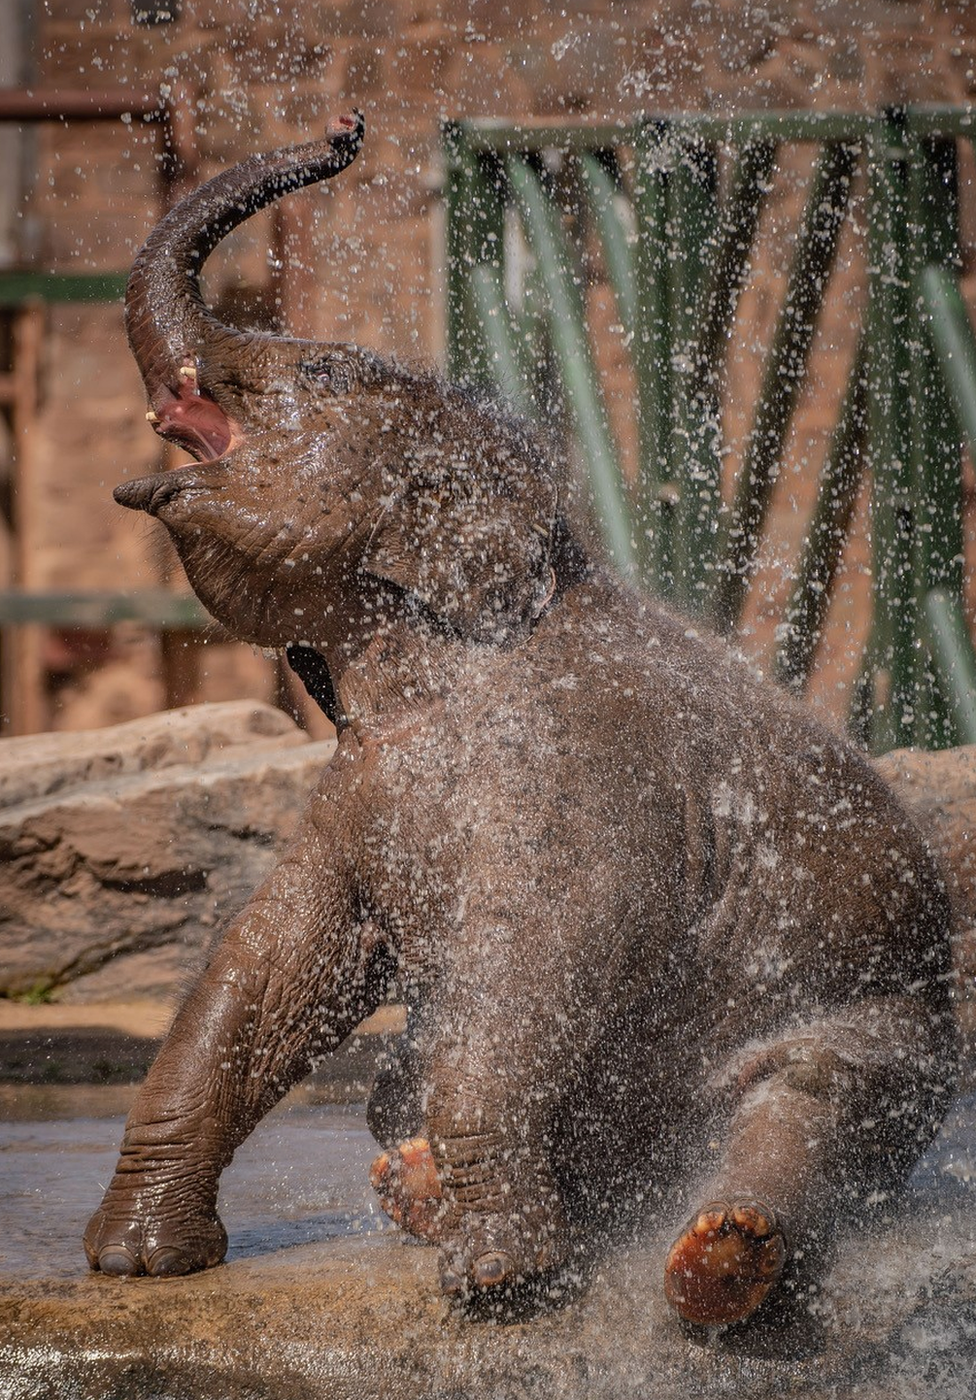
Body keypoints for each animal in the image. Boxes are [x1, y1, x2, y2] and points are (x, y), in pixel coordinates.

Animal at [83, 114, 952, 1327]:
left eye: (323, 371)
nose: (347, 131)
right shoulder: (363, 789)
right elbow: (273, 958)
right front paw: (137, 1261)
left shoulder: (573, 778)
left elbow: (530, 959)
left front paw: (504, 1285)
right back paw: (414, 1189)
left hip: (887, 1031)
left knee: (809, 1102)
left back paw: (718, 1257)